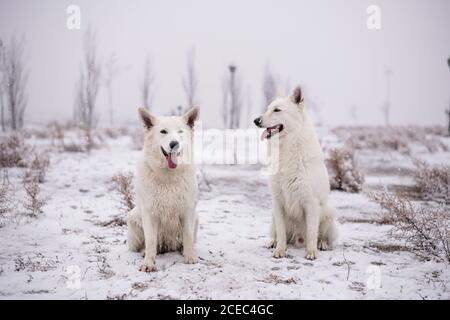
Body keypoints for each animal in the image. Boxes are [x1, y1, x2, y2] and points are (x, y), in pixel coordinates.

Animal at [125, 106, 198, 272]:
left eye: (180, 131)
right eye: (163, 131)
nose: (174, 144)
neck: (168, 174)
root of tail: (167, 244)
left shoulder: (188, 209)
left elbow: (188, 235)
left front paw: (190, 257)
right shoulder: (150, 212)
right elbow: (151, 240)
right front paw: (148, 263)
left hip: (196, 218)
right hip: (132, 217)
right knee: (147, 245)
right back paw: (144, 251)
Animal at [253, 87, 338, 260]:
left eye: (277, 110)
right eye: (267, 109)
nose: (256, 120)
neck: (289, 148)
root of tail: (298, 239)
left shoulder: (311, 203)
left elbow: (312, 232)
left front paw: (311, 252)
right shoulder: (278, 202)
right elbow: (281, 232)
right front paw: (280, 250)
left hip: (329, 212)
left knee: (322, 236)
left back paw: (322, 244)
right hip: (272, 214)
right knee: (278, 233)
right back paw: (273, 242)